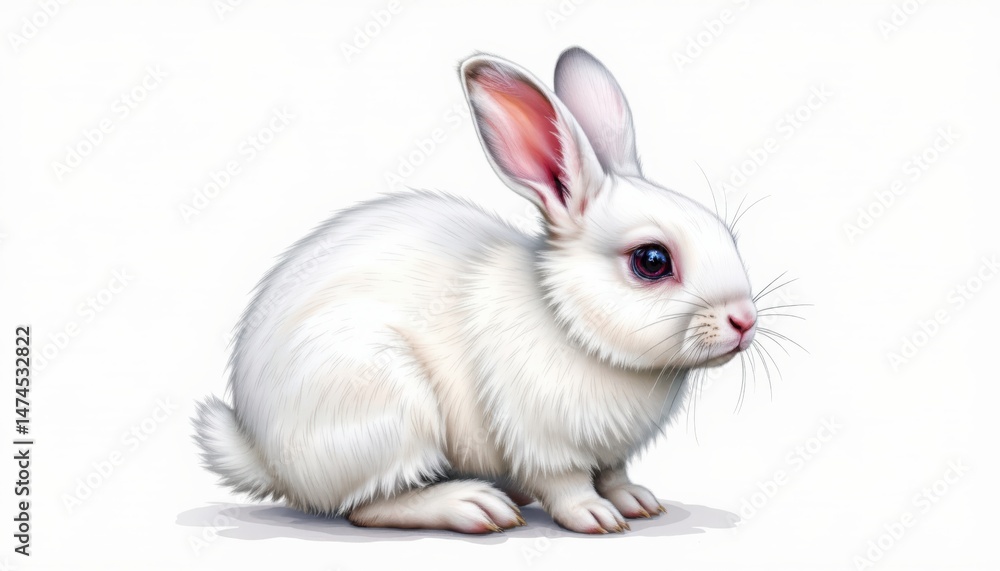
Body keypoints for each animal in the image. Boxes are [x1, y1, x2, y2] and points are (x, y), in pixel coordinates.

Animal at [193, 46, 758, 534]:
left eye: (728, 236)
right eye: (652, 261)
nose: (745, 321)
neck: (570, 323)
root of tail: (265, 456)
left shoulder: (612, 450)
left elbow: (615, 474)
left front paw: (638, 503)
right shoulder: (542, 441)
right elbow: (569, 484)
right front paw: (597, 518)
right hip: (388, 407)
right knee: (367, 507)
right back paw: (475, 505)